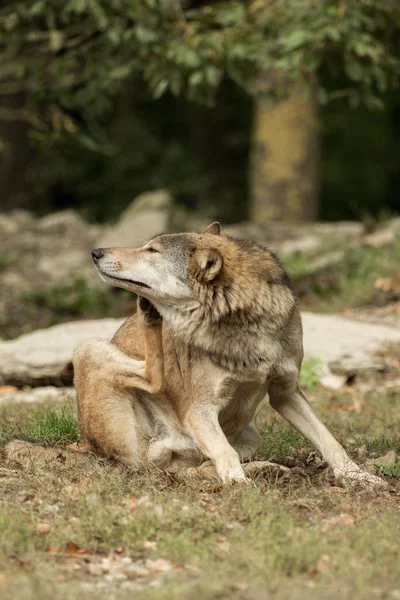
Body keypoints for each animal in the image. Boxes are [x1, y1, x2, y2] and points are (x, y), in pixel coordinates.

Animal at [73, 223, 382, 486]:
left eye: (152, 251)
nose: (96, 252)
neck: (246, 327)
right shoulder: (200, 411)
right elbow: (224, 452)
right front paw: (238, 483)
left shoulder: (285, 392)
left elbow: (330, 440)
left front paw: (359, 477)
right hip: (89, 348)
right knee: (154, 383)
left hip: (251, 435)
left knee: (199, 468)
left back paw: (267, 469)